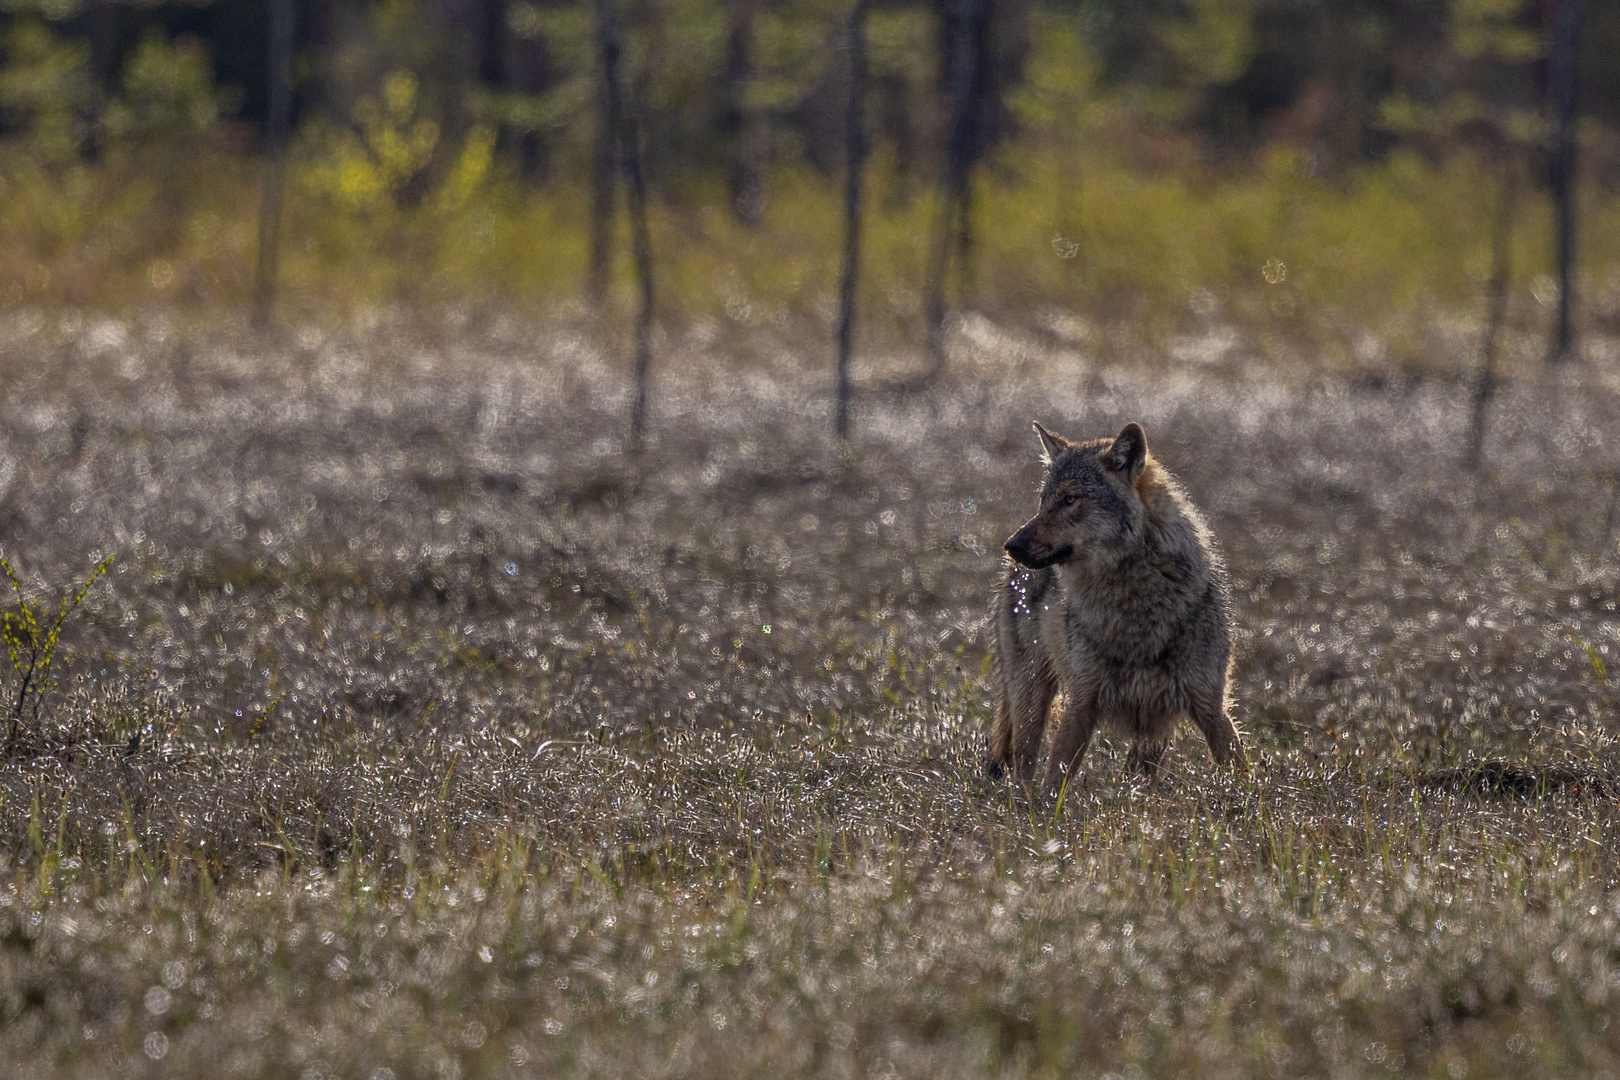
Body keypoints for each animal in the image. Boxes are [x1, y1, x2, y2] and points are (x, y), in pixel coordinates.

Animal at [984, 417, 1237, 790]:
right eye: (1043, 501)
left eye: (1069, 499)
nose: (1011, 545)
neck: (1134, 605)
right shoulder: (1082, 703)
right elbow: (1052, 787)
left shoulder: (1211, 707)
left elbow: (1243, 776)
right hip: (1031, 698)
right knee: (1023, 770)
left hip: (1153, 732)